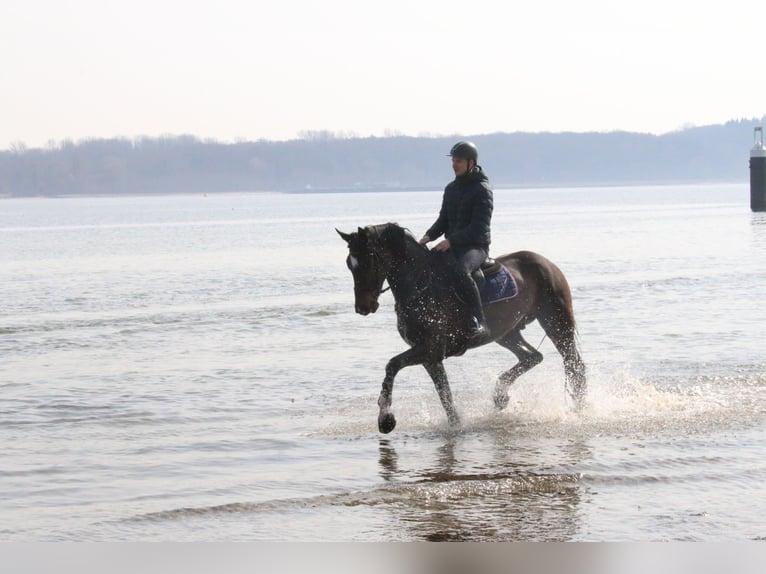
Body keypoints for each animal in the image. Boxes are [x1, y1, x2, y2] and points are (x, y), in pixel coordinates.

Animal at [336, 222, 586, 434]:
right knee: (533, 357)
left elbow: (392, 365)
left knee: (573, 364)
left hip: (556, 321)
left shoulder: (430, 348)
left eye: (367, 261)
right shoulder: (431, 357)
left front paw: (386, 418)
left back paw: (579, 408)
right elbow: (445, 395)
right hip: (506, 332)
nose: (363, 307)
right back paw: (500, 396)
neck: (420, 286)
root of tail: (546, 262)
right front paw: (455, 425)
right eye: (350, 264)